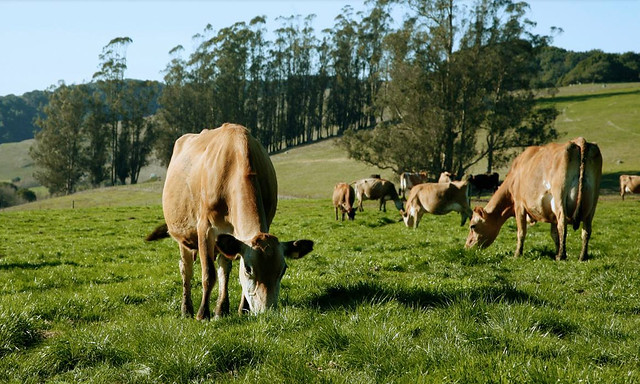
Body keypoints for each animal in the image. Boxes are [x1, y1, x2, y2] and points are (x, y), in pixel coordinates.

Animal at [146, 123, 316, 318]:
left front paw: (243, 310)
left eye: (283, 269)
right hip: (183, 234)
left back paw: (222, 309)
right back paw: (186, 309)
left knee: (223, 268)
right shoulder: (205, 228)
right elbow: (208, 274)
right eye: (249, 269)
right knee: (186, 269)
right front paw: (202, 314)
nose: (267, 312)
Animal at [464, 137, 600, 260]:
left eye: (472, 226)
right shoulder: (551, 214)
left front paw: (517, 254)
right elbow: (554, 234)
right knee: (586, 230)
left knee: (563, 225)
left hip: (559, 200)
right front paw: (555, 251)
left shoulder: (519, 205)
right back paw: (582, 256)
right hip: (592, 204)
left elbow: (521, 232)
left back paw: (562, 256)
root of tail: (579, 141)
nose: (467, 246)